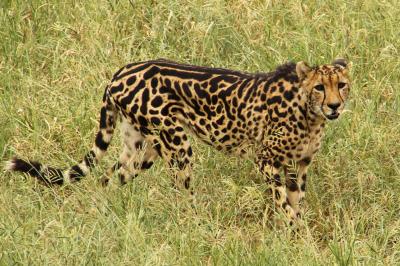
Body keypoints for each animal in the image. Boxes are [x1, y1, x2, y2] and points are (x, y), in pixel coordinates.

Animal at [6, 58, 350, 224]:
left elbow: (295, 200)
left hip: (142, 146)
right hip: (176, 144)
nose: (335, 106)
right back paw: (197, 226)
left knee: (109, 178)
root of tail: (120, 72)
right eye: (320, 87)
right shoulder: (265, 158)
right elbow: (284, 202)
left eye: (342, 85)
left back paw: (105, 213)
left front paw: (295, 235)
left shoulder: (299, 165)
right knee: (181, 194)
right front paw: (295, 231)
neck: (309, 112)